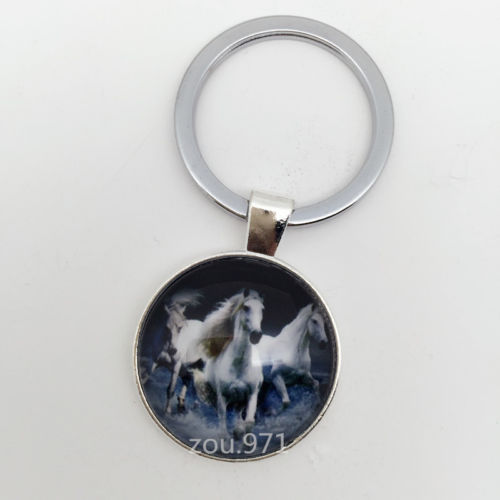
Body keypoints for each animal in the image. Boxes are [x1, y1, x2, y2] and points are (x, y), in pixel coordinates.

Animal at [191, 290, 264, 438]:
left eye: (262, 309)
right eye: (246, 307)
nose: (256, 335)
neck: (239, 366)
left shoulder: (252, 394)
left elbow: (249, 423)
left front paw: (241, 433)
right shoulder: (222, 396)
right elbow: (222, 423)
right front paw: (226, 437)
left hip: (240, 399)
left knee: (238, 413)